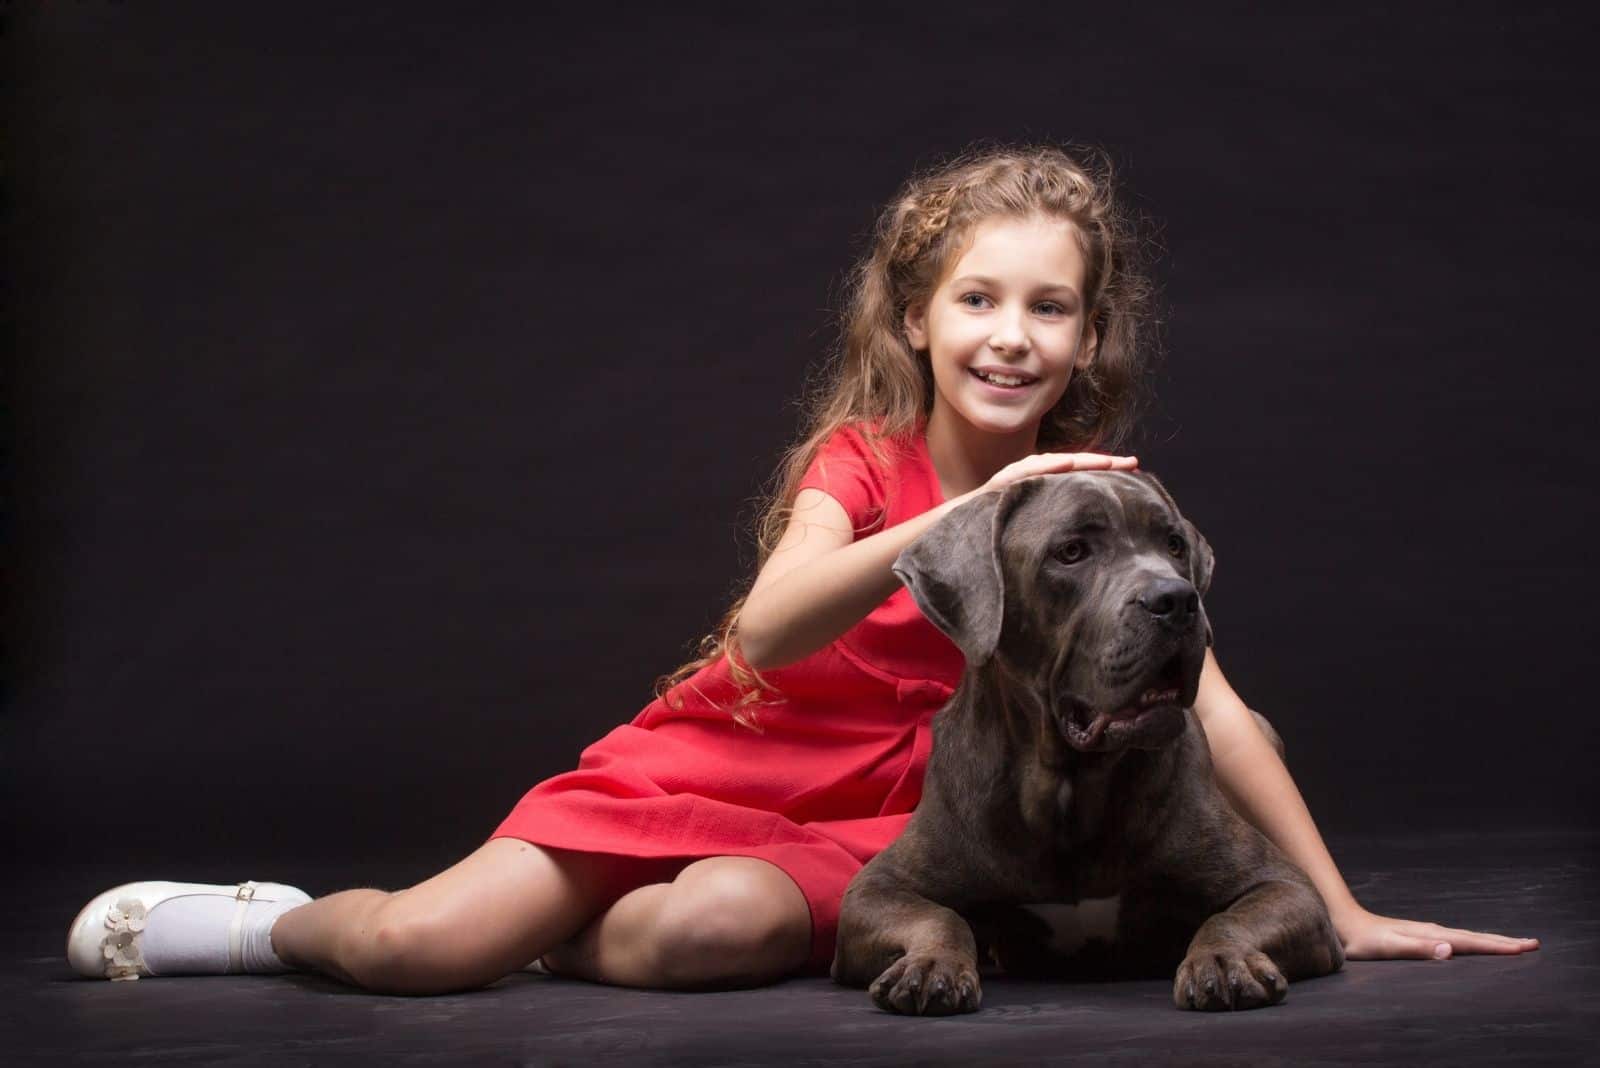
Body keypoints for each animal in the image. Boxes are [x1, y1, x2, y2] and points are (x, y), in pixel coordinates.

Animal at [832, 470, 1344, 1016]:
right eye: (1072, 552)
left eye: (1174, 544)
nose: (1177, 599)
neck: (1067, 784)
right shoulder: (878, 890)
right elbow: (938, 917)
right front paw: (932, 965)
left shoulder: (1284, 886)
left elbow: (1230, 915)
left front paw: (1225, 961)